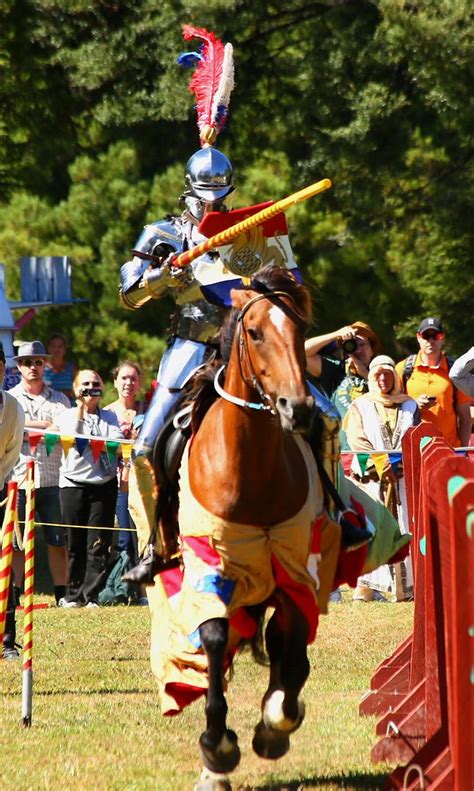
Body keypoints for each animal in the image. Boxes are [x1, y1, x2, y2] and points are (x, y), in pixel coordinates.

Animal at [150, 268, 324, 791]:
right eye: (255, 332)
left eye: (300, 329)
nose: (298, 408)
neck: (250, 470)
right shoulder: (210, 563)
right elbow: (213, 639)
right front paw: (217, 747)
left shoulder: (293, 570)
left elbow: (292, 647)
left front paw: (274, 725)